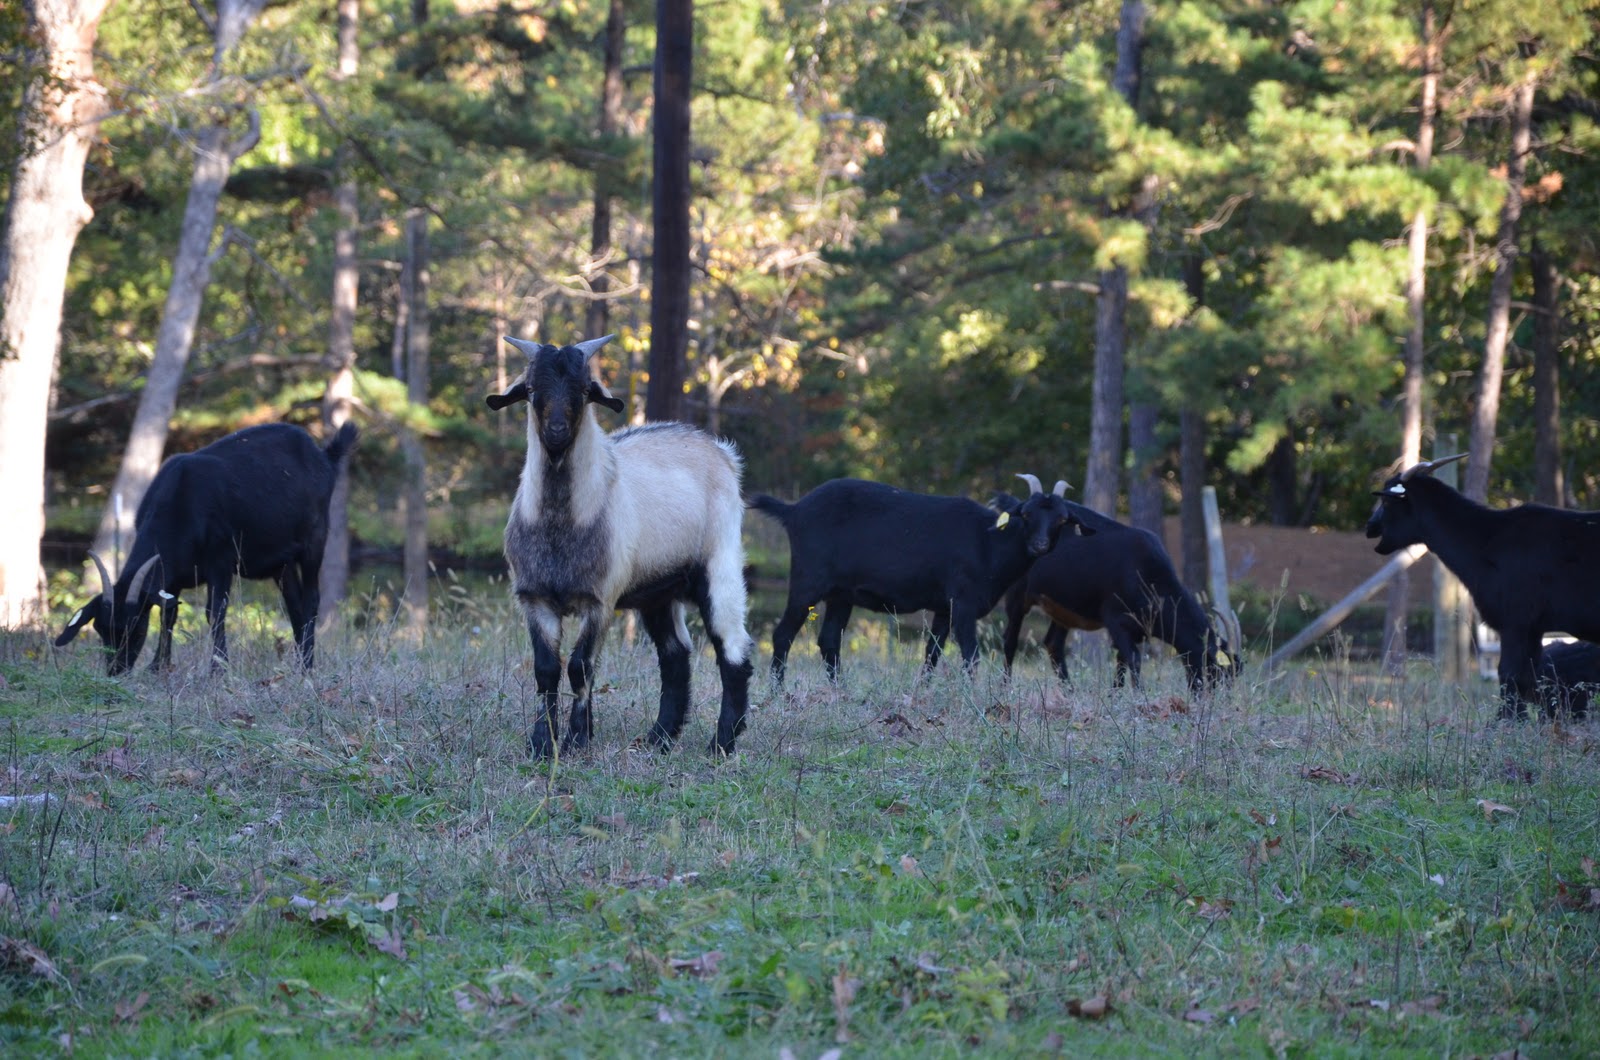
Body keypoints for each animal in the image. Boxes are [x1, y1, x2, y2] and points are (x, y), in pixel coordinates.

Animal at [55, 422, 358, 674]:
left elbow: (215, 613)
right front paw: (158, 667)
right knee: (294, 604)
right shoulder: (171, 576)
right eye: (100, 629)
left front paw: (218, 668)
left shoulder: (220, 561)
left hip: (315, 539)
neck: (179, 505)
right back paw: (298, 663)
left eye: (136, 628)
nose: (116, 670)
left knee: (311, 599)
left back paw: (307, 665)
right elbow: (168, 615)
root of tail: (323, 456)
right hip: (280, 563)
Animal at [486, 334, 754, 759]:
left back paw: (721, 743)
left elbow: (580, 667)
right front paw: (543, 743)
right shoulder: (535, 598)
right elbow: (547, 670)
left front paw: (578, 740)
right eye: (529, 389)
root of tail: (722, 452)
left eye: (584, 390)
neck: (563, 524)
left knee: (733, 648)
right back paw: (659, 738)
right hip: (660, 589)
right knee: (675, 655)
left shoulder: (601, 599)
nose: (557, 431)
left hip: (720, 562)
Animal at [749, 474, 1083, 683]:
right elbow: (970, 655)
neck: (991, 543)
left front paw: (924, 689)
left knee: (829, 639)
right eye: (1026, 514)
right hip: (808, 579)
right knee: (783, 634)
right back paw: (778, 691)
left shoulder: (944, 607)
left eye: (1062, 519)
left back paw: (839, 689)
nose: (1039, 545)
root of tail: (793, 510)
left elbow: (932, 652)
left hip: (841, 593)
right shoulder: (963, 601)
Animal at [1000, 502, 1234, 692]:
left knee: (1053, 643)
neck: (1147, 573)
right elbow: (1134, 659)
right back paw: (1006, 686)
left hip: (1063, 609)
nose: (1213, 697)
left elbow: (1122, 660)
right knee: (1010, 640)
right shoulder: (1115, 619)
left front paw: (1116, 693)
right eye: (1214, 667)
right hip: (1017, 596)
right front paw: (1139, 694)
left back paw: (1069, 691)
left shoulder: (1136, 628)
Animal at [1365, 453, 1600, 718]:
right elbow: (1528, 678)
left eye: (1387, 502)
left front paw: (1504, 721)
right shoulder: (1533, 628)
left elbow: (1510, 675)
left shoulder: (1515, 622)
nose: (1369, 526)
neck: (1486, 539)